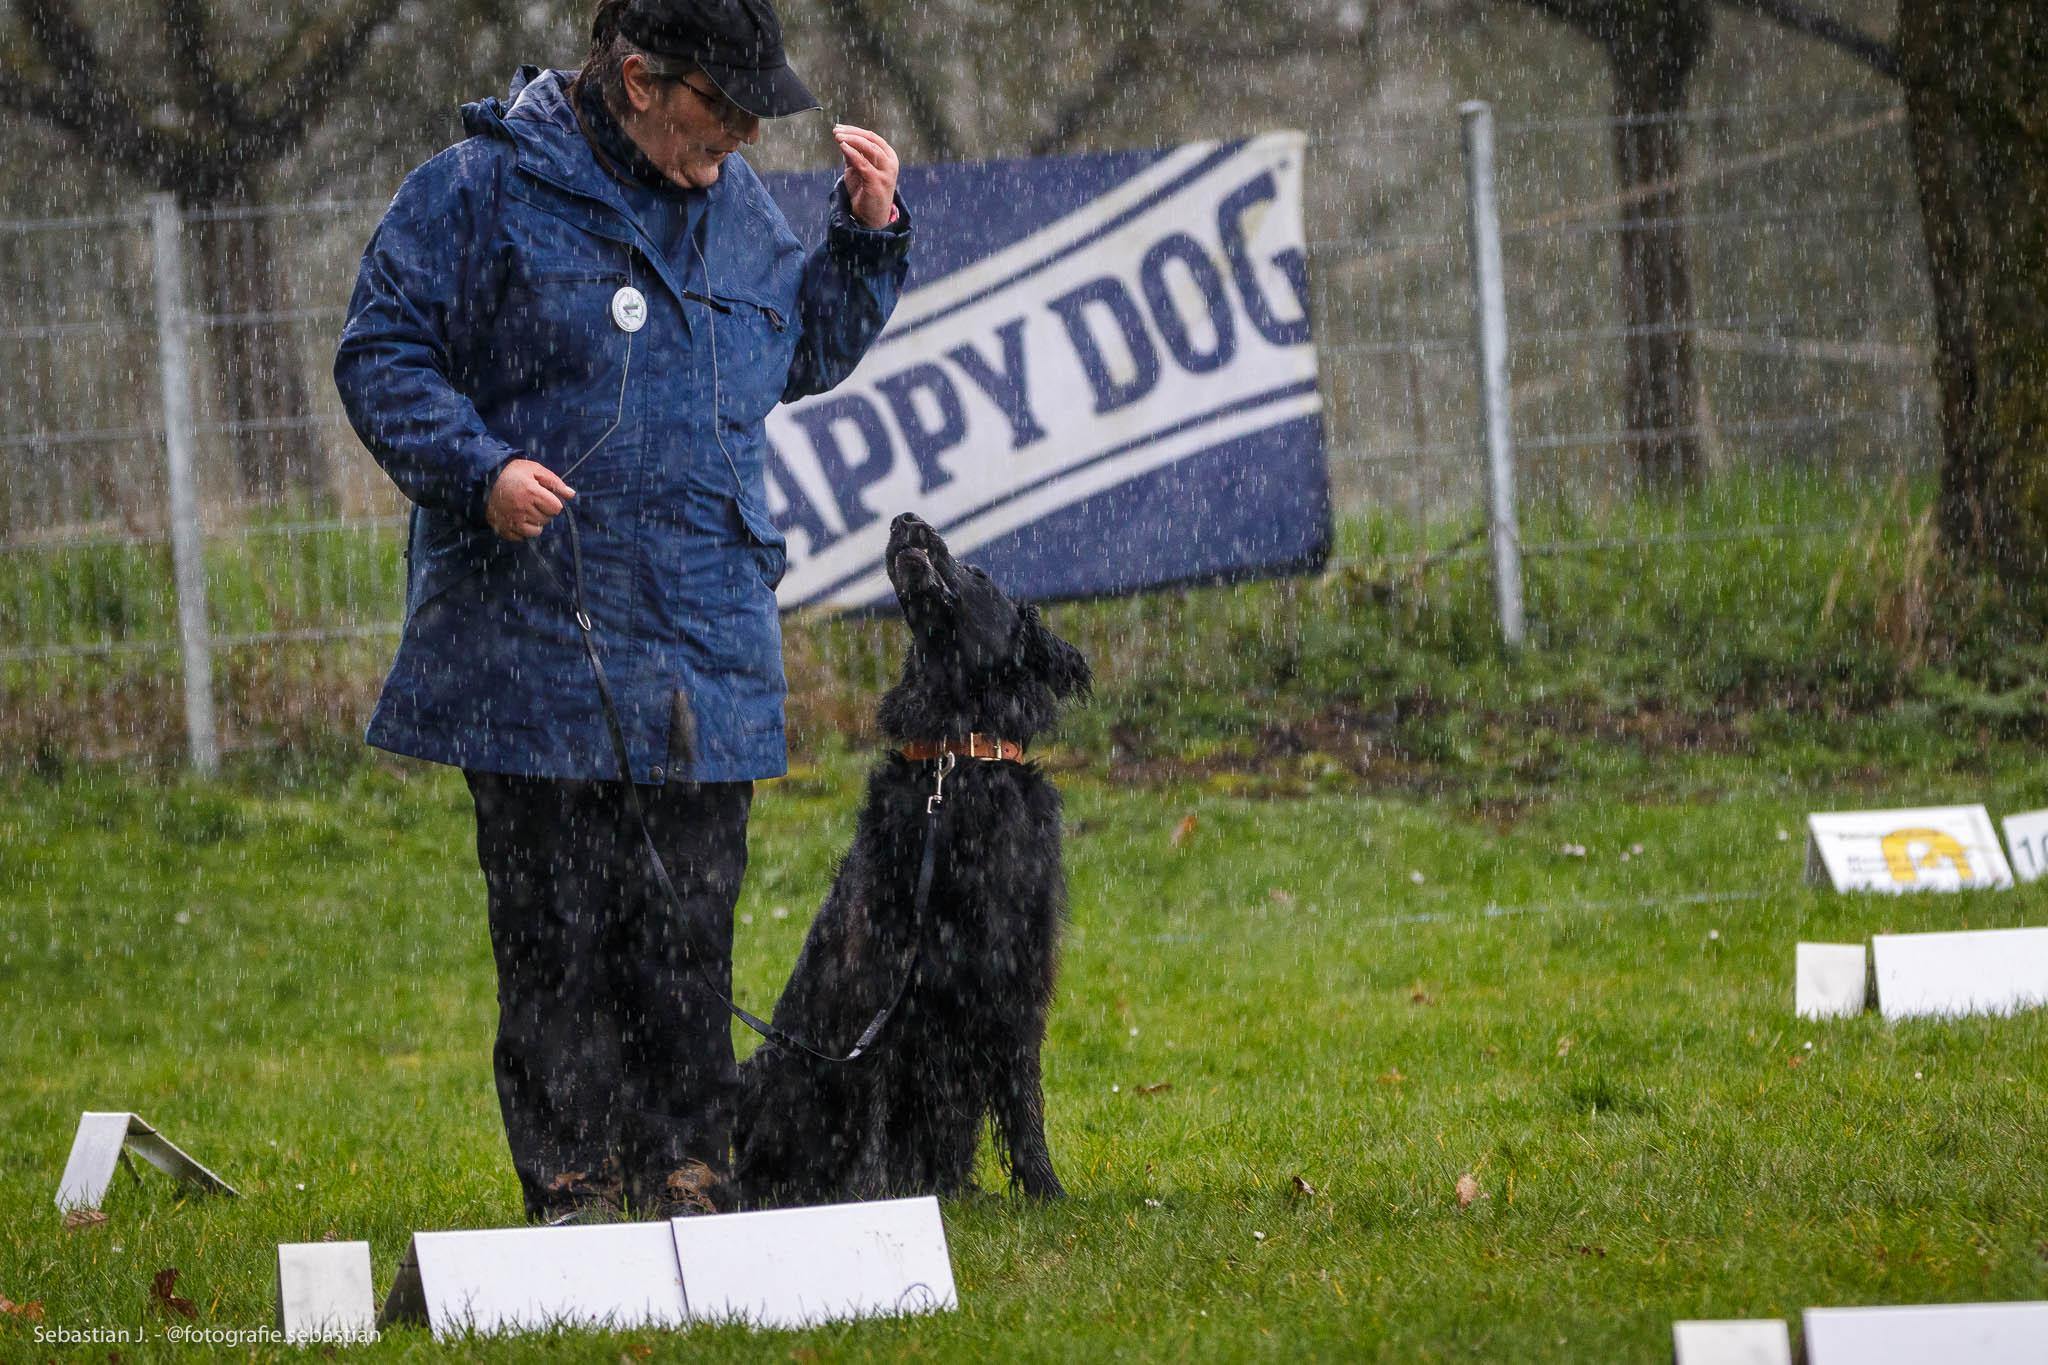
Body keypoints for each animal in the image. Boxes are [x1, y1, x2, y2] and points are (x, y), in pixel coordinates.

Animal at [733, 513, 1091, 1208]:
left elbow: (1024, 1095)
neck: (957, 762)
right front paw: (873, 1201)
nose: (905, 521)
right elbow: (873, 1104)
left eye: (978, 573)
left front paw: (1045, 1191)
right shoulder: (879, 978)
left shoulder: (1018, 977)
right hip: (770, 1069)